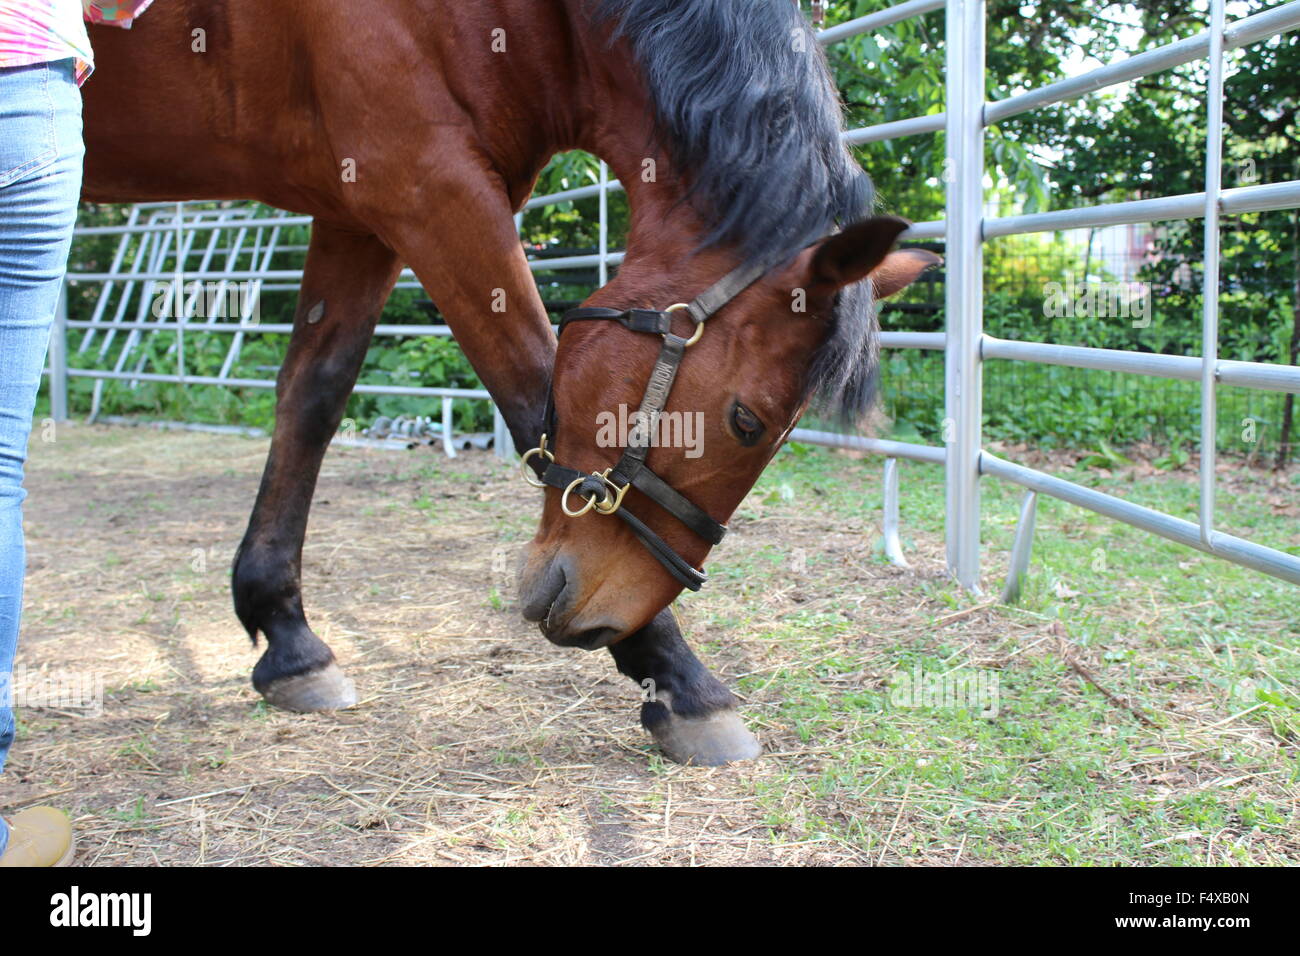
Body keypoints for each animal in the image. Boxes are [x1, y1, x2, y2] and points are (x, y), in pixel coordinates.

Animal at [81, 0, 937, 765]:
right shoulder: (425, 183)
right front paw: (679, 680)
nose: (605, 619)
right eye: (747, 422)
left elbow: (312, 397)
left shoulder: (356, 208)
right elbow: (530, 384)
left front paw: (288, 640)